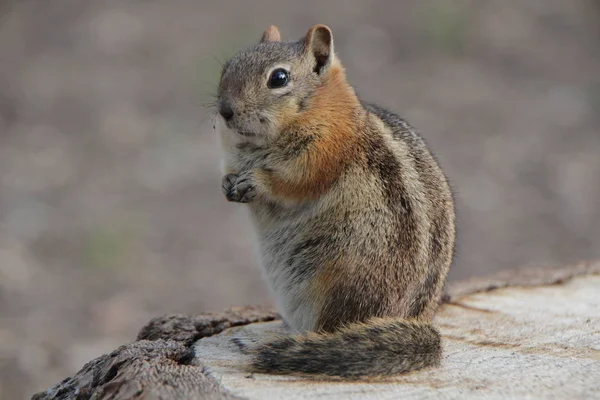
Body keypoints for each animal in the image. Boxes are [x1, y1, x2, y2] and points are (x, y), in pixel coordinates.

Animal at [214, 25, 454, 378]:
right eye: (227, 67)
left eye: (278, 78)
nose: (225, 111)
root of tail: (413, 320)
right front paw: (227, 183)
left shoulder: (322, 153)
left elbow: (293, 183)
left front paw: (256, 181)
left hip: (340, 283)